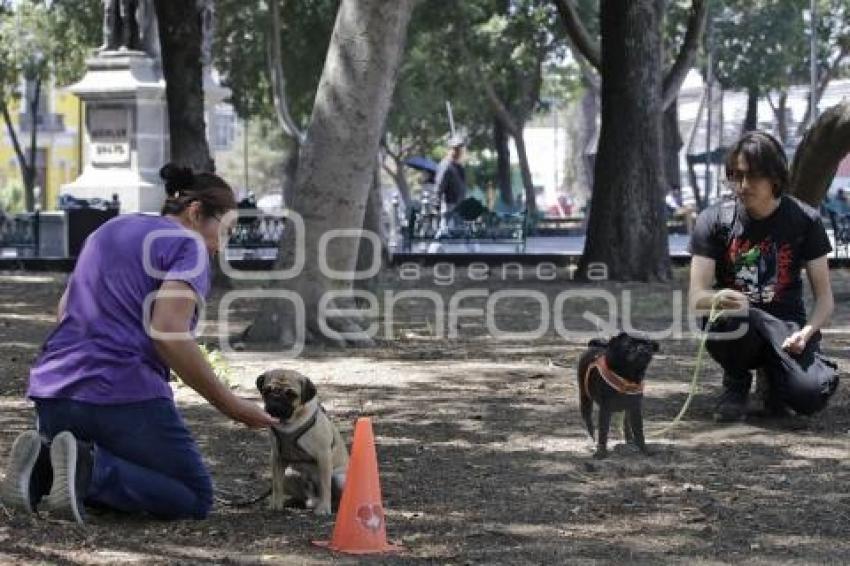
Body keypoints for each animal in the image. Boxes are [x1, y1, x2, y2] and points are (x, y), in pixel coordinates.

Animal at [576, 332, 656, 462]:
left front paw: (644, 450)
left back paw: (630, 440)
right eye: (629, 345)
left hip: (627, 410)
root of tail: (593, 347)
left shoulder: (635, 408)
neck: (627, 377)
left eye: (648, 345)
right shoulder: (605, 409)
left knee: (626, 423)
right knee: (589, 423)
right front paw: (601, 452)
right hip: (585, 399)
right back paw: (592, 441)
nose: (642, 348)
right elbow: (603, 432)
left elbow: (639, 431)